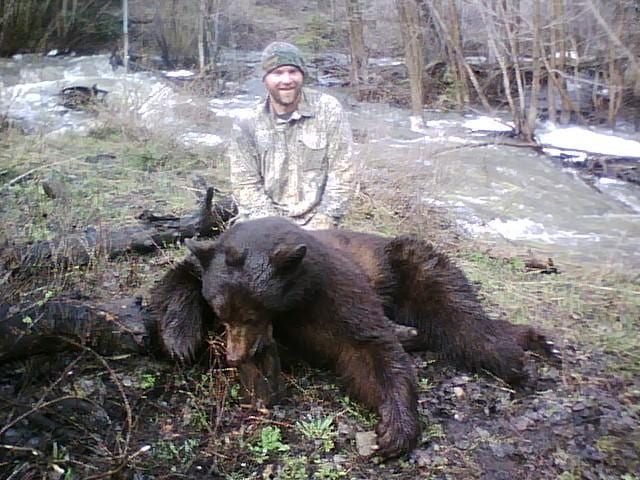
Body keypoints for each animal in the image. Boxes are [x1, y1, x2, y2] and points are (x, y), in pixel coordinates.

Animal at [151, 217, 557, 458]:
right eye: (221, 313)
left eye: (252, 314)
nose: (235, 355)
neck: (293, 302)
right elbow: (181, 277)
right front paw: (180, 338)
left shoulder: (332, 287)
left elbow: (366, 346)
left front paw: (396, 429)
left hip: (406, 265)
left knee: (458, 314)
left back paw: (519, 359)